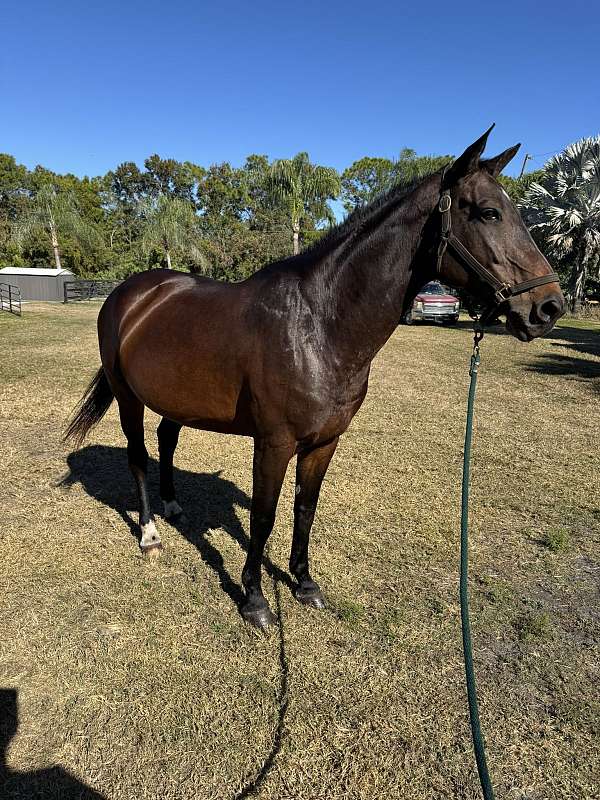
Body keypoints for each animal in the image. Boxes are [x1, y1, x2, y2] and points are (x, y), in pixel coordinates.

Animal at [65, 127, 564, 629]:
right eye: (488, 212)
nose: (548, 308)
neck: (317, 324)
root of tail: (131, 293)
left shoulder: (325, 442)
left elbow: (305, 508)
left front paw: (303, 583)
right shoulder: (274, 443)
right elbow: (263, 517)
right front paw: (255, 600)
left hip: (178, 398)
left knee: (167, 440)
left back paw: (171, 505)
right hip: (128, 396)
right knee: (138, 455)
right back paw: (150, 534)